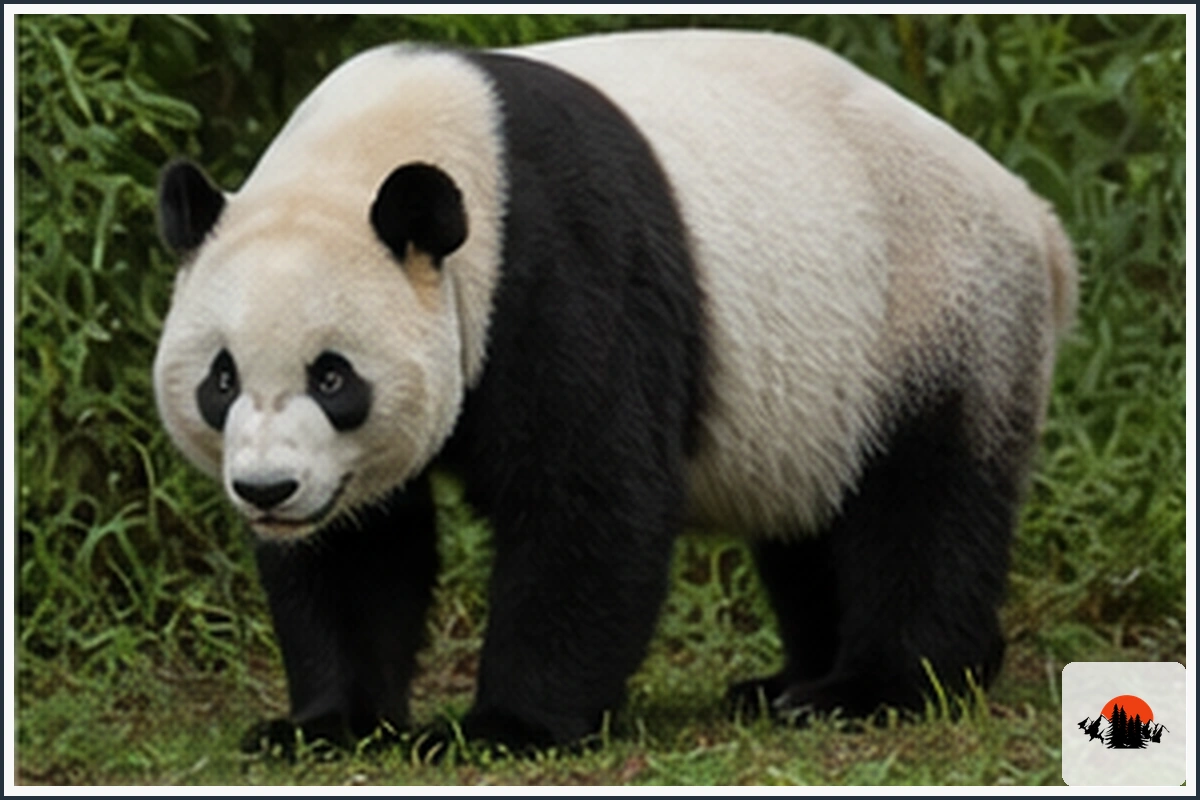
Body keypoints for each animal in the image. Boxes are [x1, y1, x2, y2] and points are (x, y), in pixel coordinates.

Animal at [153, 29, 1077, 752]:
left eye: (333, 375)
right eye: (222, 378)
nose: (268, 489)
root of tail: (1037, 218)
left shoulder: (560, 262)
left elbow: (588, 493)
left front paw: (506, 727)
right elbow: (356, 547)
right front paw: (322, 723)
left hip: (933, 303)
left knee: (922, 503)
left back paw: (878, 687)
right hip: (827, 376)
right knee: (816, 517)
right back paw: (788, 681)